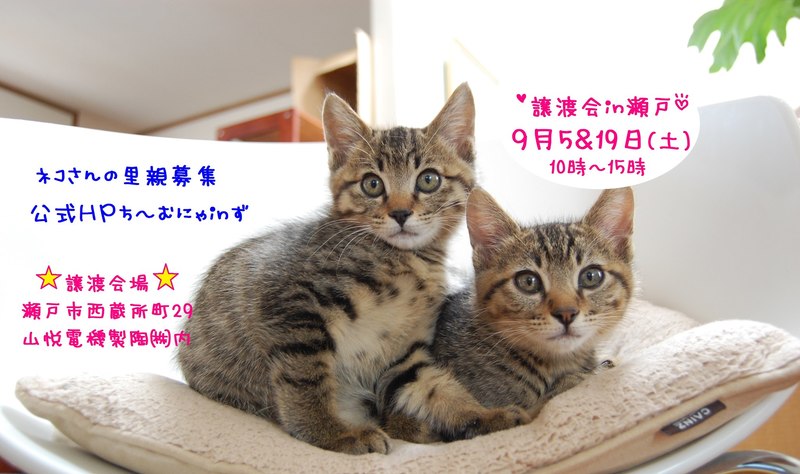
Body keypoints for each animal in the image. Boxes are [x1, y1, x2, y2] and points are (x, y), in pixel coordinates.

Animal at [177, 84, 528, 455]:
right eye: (372, 184)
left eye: (429, 180)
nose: (400, 213)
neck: (409, 262)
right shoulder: (292, 306)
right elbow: (305, 379)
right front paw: (331, 433)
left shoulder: (404, 354)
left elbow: (435, 388)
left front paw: (486, 416)